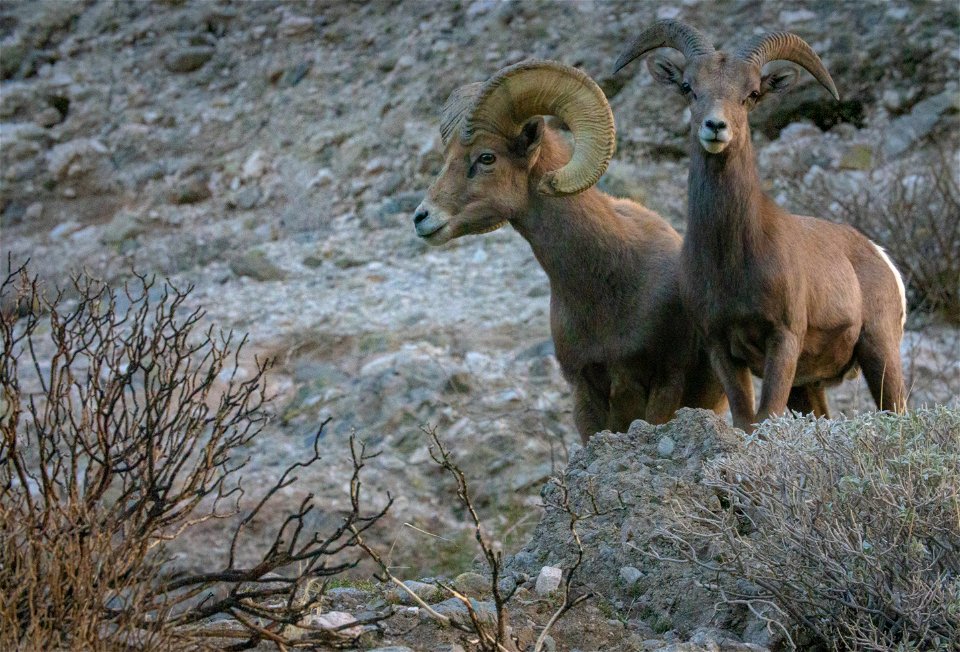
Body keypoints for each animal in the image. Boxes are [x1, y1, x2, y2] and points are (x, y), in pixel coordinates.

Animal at [410, 59, 728, 444]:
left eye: (486, 157)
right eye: (448, 157)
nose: (422, 218)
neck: (610, 286)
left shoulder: (666, 382)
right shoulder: (583, 391)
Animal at [616, 20, 908, 432]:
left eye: (751, 94)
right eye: (689, 87)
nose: (715, 127)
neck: (732, 258)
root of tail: (881, 258)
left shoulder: (783, 339)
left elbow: (767, 414)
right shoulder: (721, 347)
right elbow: (745, 419)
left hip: (880, 351)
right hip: (809, 386)